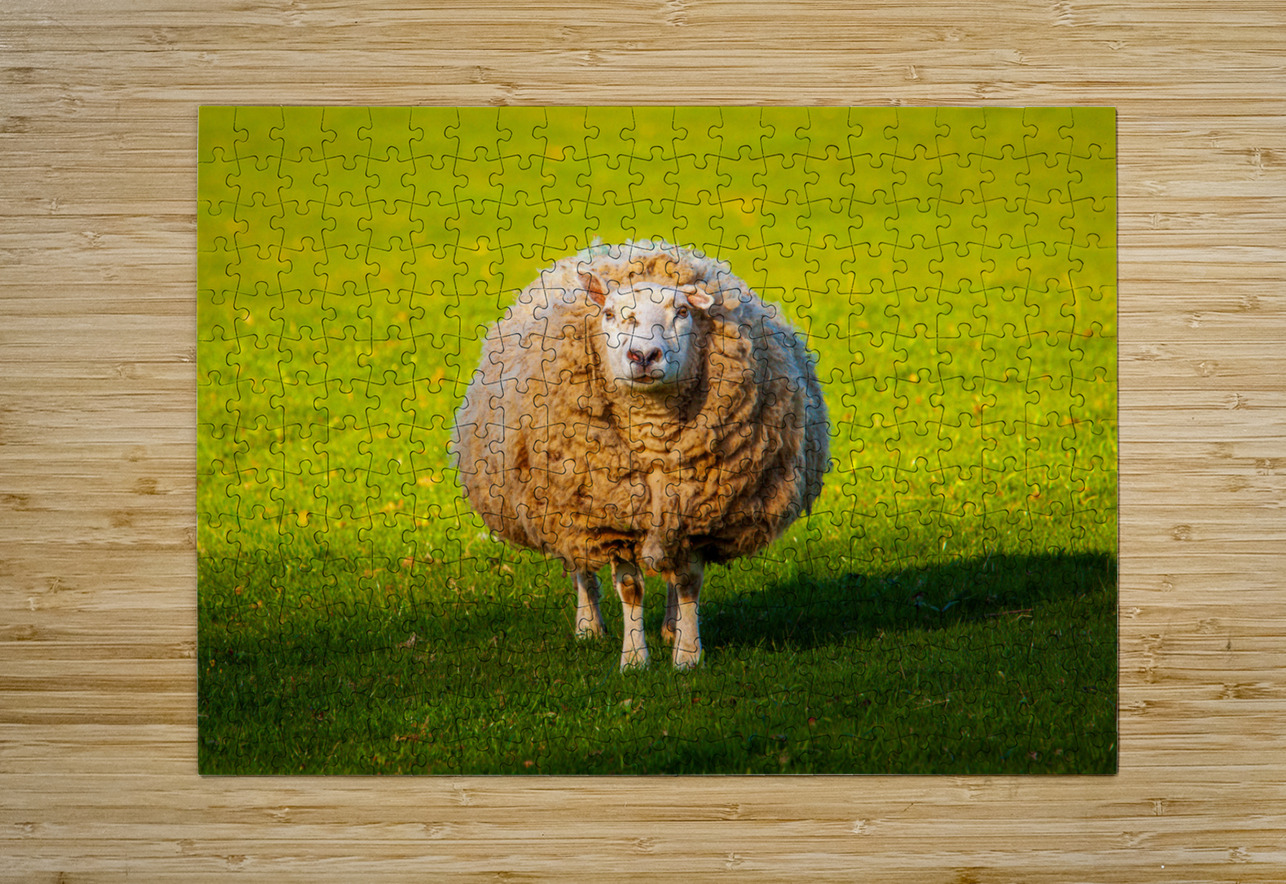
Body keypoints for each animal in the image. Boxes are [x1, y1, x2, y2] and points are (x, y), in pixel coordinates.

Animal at [450, 240, 829, 669]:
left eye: (682, 312)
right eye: (610, 314)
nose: (644, 356)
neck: (653, 432)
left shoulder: (695, 512)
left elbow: (688, 582)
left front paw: (686, 655)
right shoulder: (609, 515)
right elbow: (630, 587)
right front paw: (634, 660)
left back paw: (670, 627)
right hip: (565, 505)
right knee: (581, 565)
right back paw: (588, 627)